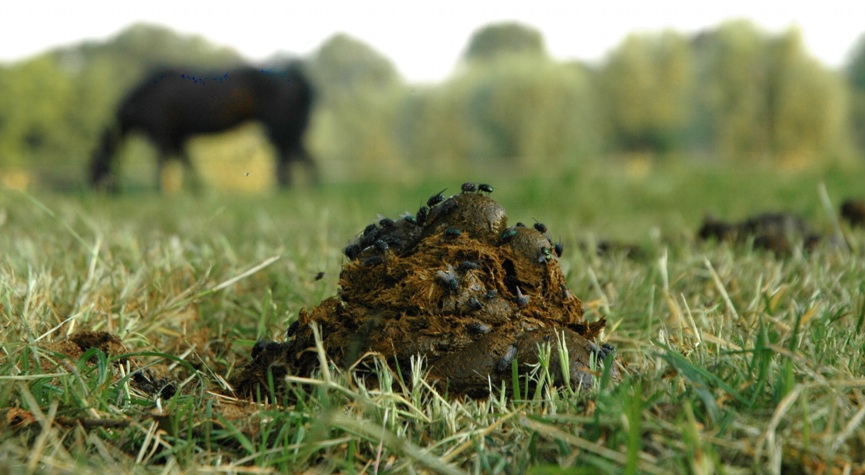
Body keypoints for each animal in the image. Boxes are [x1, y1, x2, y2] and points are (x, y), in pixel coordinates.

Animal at [90, 64, 318, 192]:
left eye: (95, 168)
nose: (97, 192)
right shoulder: (177, 138)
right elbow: (187, 163)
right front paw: (196, 189)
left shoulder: (161, 135)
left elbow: (163, 164)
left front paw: (161, 190)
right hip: (285, 129)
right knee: (296, 157)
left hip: (282, 127)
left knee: (290, 157)